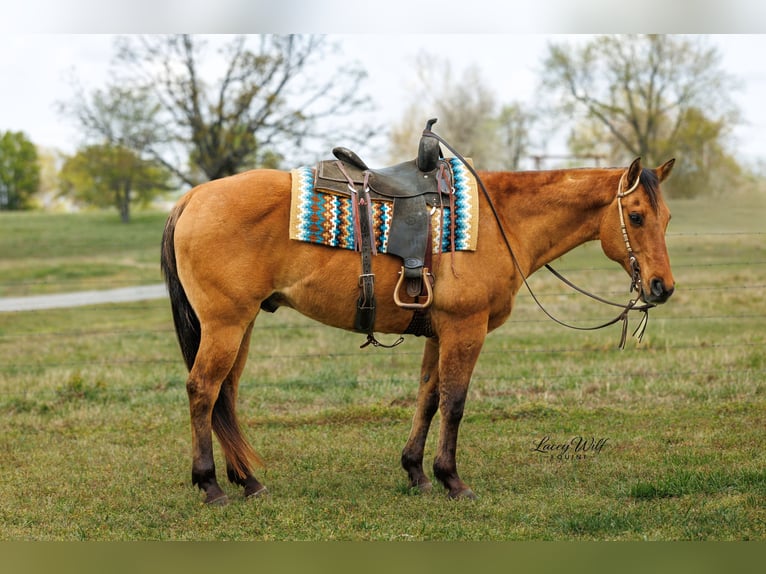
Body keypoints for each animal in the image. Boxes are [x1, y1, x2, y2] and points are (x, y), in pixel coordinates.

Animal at [161, 155, 676, 504]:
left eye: (667, 218)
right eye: (635, 216)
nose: (662, 286)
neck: (501, 221)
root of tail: (193, 197)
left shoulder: (438, 333)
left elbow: (428, 398)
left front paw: (416, 472)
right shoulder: (466, 329)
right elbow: (454, 402)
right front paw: (451, 478)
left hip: (241, 325)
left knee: (225, 395)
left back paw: (248, 480)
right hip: (226, 324)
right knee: (203, 389)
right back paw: (210, 485)